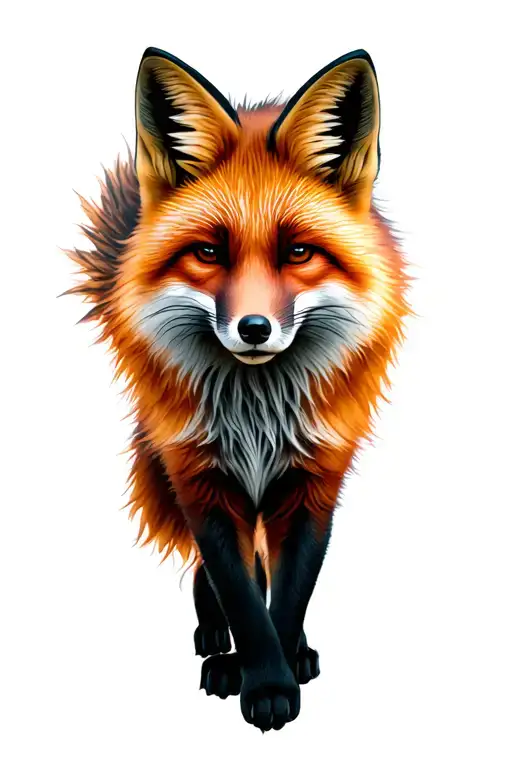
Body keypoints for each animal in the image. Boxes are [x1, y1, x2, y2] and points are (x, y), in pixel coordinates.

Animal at [64, 46, 410, 731]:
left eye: (298, 252)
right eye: (208, 253)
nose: (254, 329)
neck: (257, 414)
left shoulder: (313, 483)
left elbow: (290, 592)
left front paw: (283, 669)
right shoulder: (201, 481)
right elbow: (240, 596)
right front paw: (258, 680)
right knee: (212, 579)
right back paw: (214, 643)